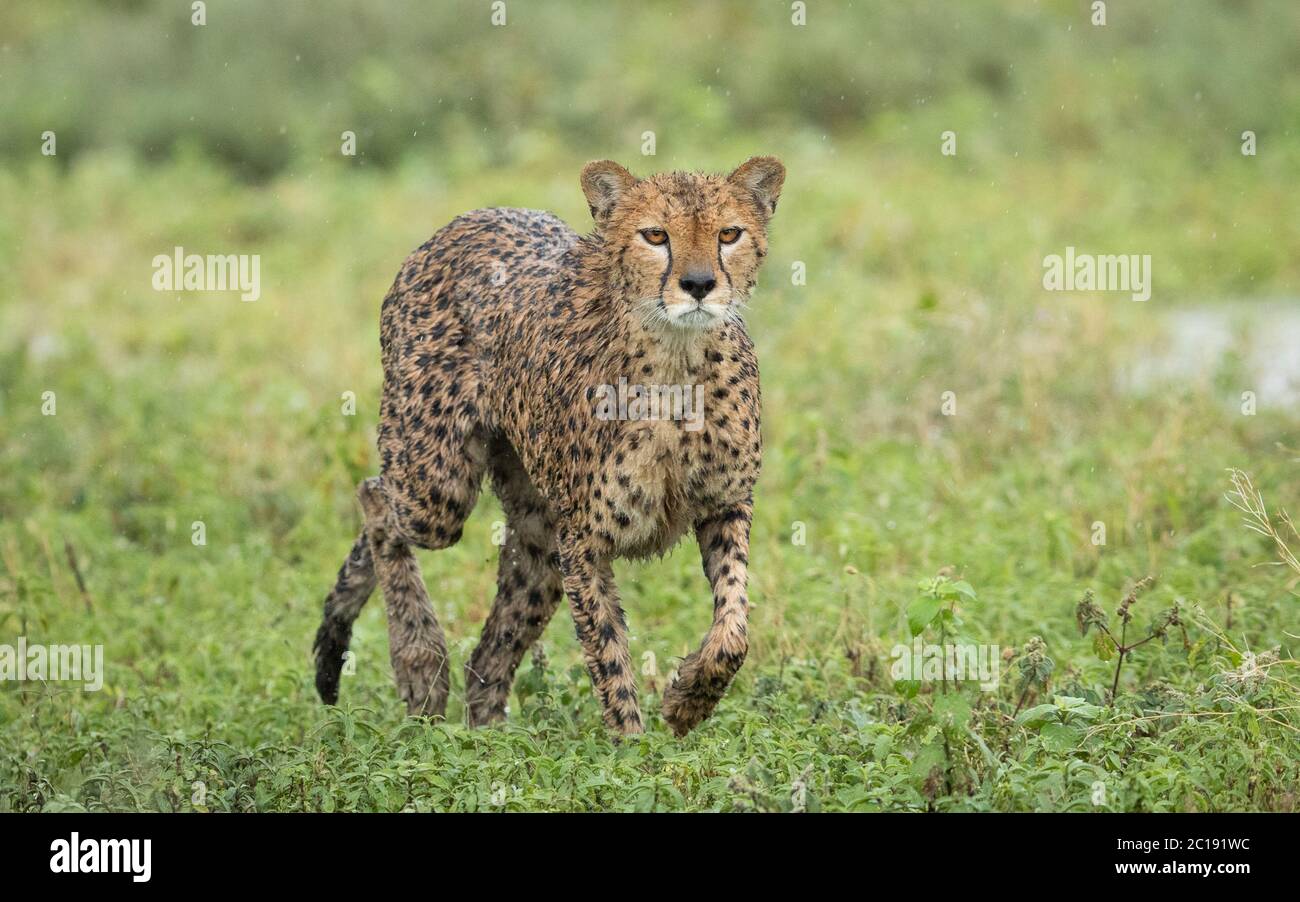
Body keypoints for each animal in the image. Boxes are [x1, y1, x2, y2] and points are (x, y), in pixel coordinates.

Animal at [312, 157, 780, 733]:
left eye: (728, 234)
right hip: (438, 490)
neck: (676, 360)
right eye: (655, 235)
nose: (698, 284)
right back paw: (421, 666)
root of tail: (476, 215)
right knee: (376, 497)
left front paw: (688, 700)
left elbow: (734, 628)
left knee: (488, 654)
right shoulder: (582, 539)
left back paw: (490, 740)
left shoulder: (726, 503)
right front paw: (635, 747)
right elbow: (608, 657)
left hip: (536, 533)